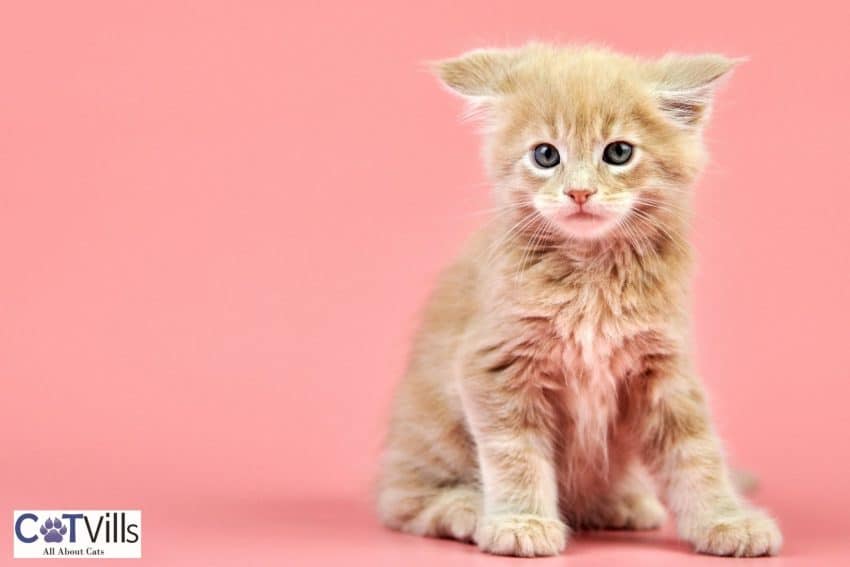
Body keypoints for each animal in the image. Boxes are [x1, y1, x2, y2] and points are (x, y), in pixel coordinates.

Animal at [378, 44, 780, 560]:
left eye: (619, 152)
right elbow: (515, 453)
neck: (592, 274)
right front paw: (522, 522)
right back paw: (467, 508)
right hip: (429, 441)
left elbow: (697, 452)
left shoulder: (666, 367)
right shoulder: (494, 363)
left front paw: (726, 520)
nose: (580, 192)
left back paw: (621, 501)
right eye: (546, 155)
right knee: (403, 501)